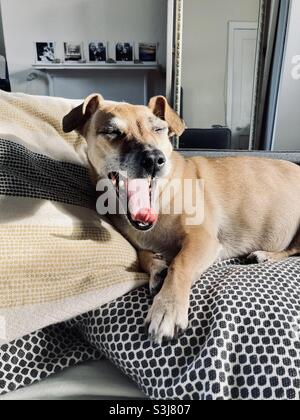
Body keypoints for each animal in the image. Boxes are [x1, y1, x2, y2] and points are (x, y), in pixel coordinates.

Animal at [62, 93, 300, 342]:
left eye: (159, 129)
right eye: (112, 132)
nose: (154, 159)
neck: (161, 198)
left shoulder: (203, 240)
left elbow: (180, 263)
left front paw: (167, 308)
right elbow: (141, 254)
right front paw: (157, 267)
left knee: (294, 249)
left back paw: (265, 255)